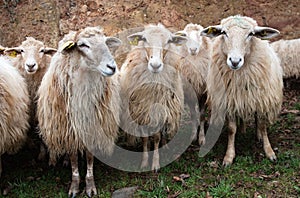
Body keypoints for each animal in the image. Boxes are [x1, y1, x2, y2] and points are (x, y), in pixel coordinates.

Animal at [37, 25, 121, 196]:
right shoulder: (69, 130)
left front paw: (90, 186)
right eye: (82, 45)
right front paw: (74, 186)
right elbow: (74, 159)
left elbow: (89, 158)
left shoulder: (91, 128)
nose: (112, 67)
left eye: (105, 42)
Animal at [119, 23, 185, 172]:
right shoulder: (141, 112)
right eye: (144, 39)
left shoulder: (159, 111)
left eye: (169, 41)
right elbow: (144, 137)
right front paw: (144, 162)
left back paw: (165, 146)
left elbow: (156, 137)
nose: (155, 65)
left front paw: (155, 163)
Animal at [200, 15, 282, 166]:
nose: (235, 61)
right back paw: (243, 130)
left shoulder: (262, 100)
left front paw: (269, 151)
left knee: (257, 120)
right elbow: (232, 130)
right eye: (224, 33)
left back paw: (257, 135)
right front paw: (229, 156)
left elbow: (262, 125)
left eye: (251, 34)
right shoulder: (230, 101)